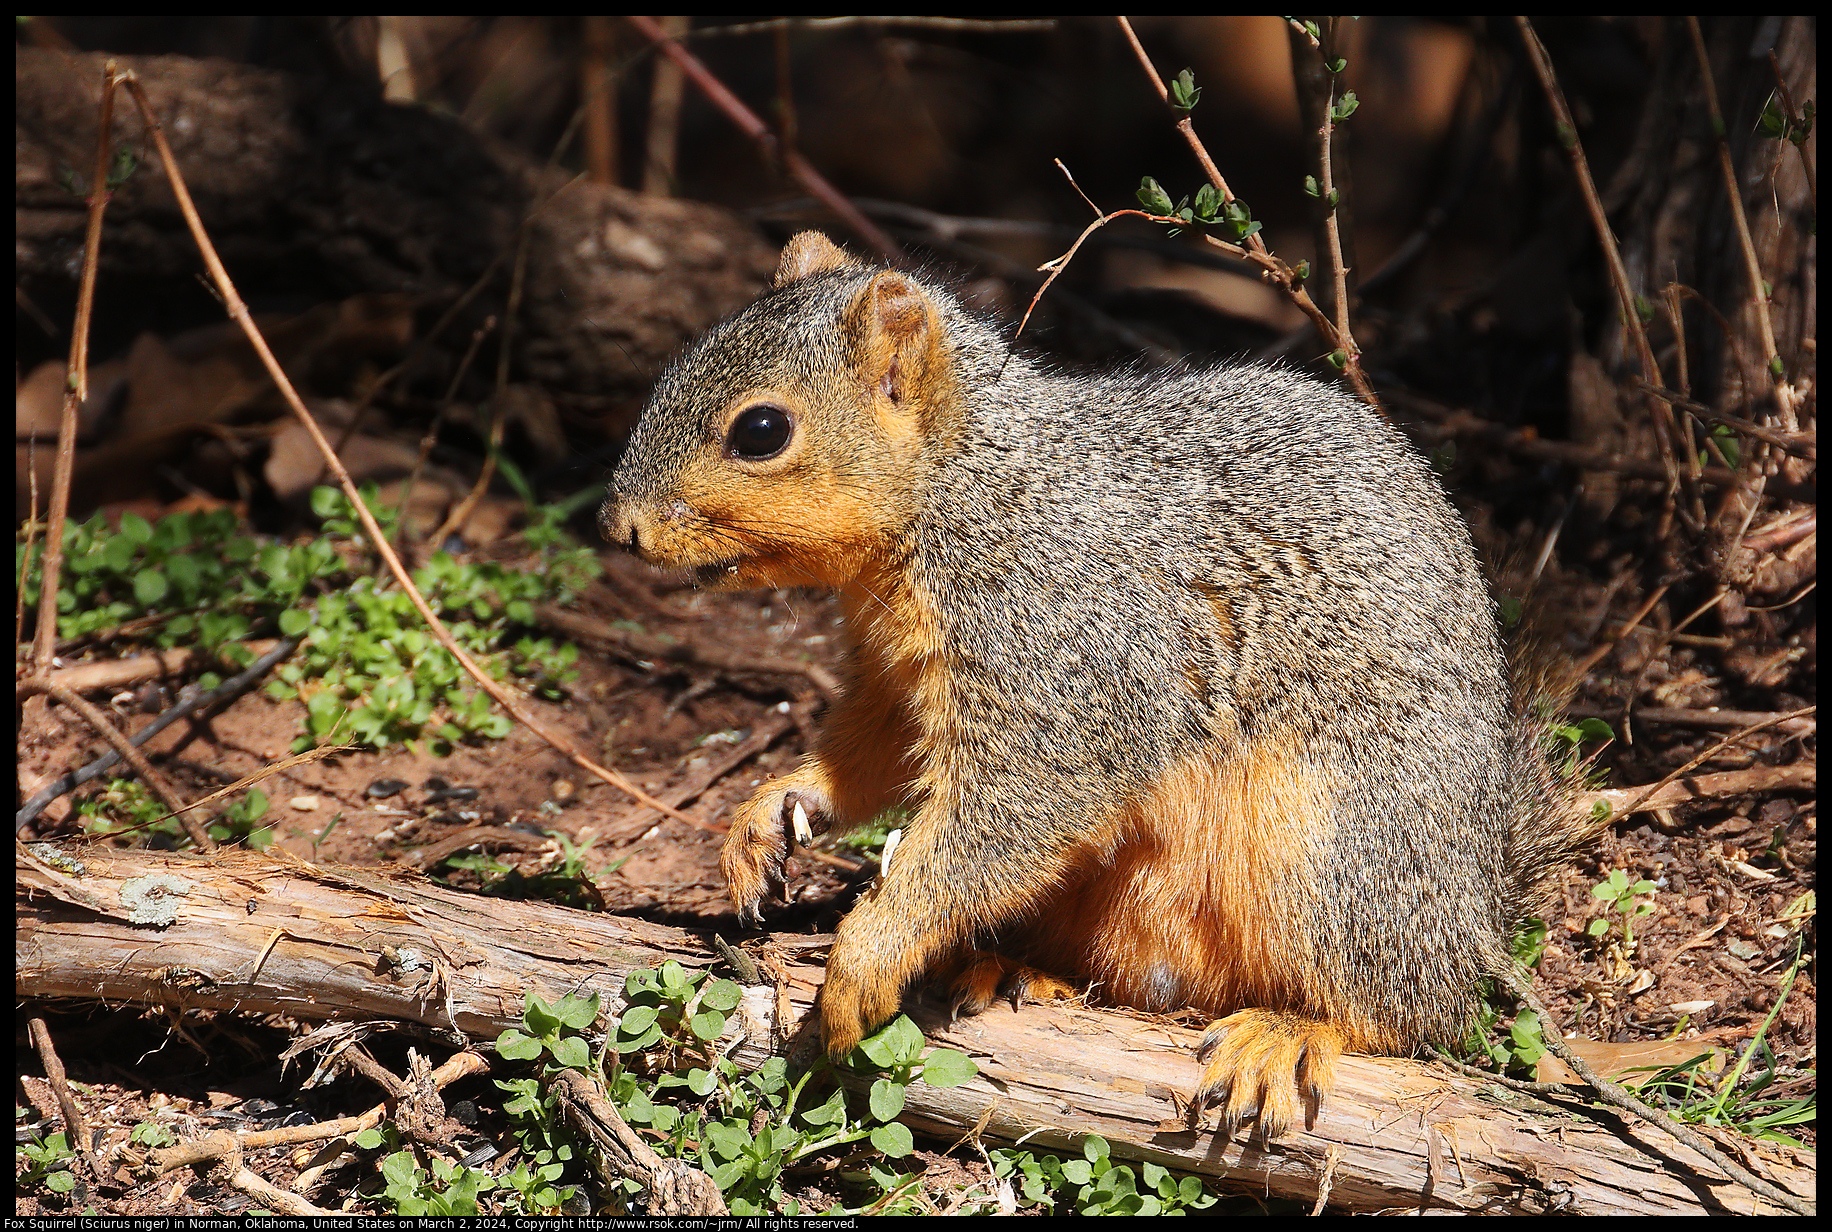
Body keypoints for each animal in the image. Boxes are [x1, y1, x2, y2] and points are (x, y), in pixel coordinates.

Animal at [597, 228, 1590, 1136]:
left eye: (761, 431)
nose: (617, 528)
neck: (961, 490)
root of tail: (1476, 906)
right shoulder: (896, 681)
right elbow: (872, 758)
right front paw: (771, 810)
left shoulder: (1063, 661)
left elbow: (1015, 811)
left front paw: (868, 954)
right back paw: (1010, 967)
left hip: (1333, 852)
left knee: (1408, 1011)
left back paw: (1291, 1032)